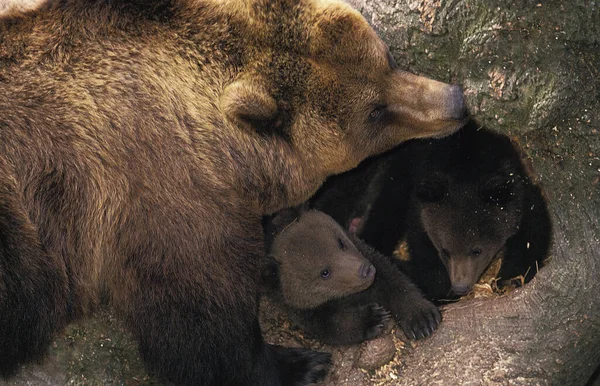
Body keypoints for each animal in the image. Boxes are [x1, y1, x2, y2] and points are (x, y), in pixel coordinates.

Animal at [262, 210, 440, 346]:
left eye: (340, 242)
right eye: (324, 272)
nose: (365, 270)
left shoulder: (371, 257)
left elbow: (396, 283)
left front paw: (420, 317)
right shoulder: (306, 311)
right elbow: (335, 327)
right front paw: (372, 319)